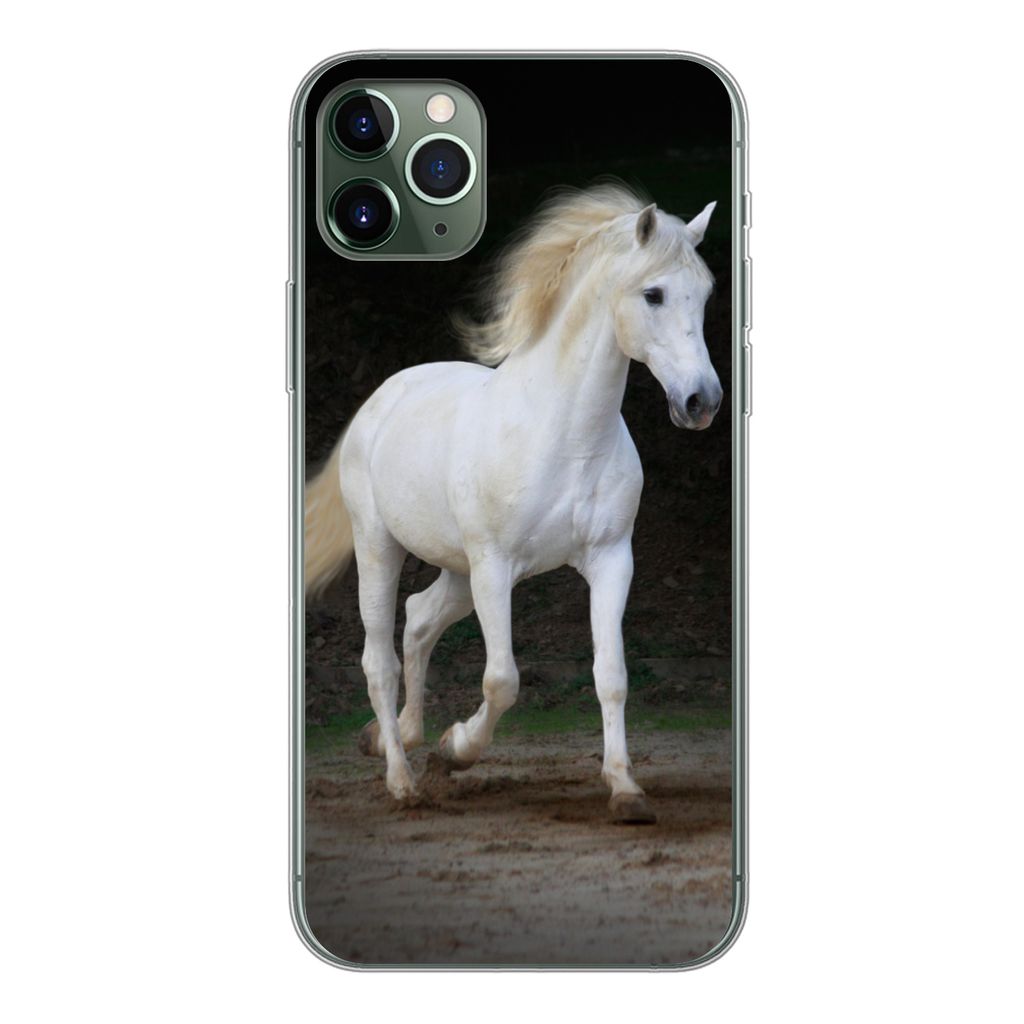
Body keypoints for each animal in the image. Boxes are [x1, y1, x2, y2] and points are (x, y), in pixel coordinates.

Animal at [304, 184, 722, 823]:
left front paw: (625, 790)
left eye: (704, 293)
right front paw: (457, 749)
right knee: (379, 660)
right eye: (653, 294)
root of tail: (383, 396)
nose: (702, 401)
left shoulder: (611, 561)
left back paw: (400, 735)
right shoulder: (495, 568)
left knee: (418, 621)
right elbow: (502, 679)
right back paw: (403, 779)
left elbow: (612, 675)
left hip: (457, 571)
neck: (564, 435)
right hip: (380, 548)